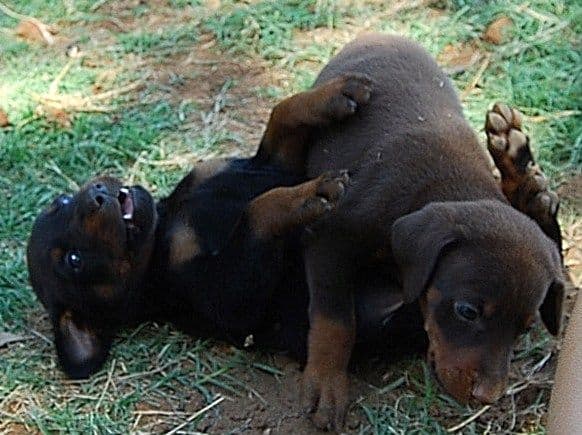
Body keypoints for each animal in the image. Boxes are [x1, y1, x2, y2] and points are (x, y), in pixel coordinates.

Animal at [26, 74, 374, 378]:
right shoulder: (226, 296)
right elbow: (257, 211)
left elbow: (282, 113)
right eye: (73, 260)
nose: (97, 194)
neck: (166, 220)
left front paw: (336, 92)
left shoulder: (263, 165)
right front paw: (309, 195)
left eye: (62, 202)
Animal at [302, 33, 564, 430]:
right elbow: (335, 320)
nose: (487, 398)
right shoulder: (331, 235)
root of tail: (380, 34)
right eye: (467, 311)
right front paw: (327, 383)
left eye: (524, 327)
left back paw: (520, 165)